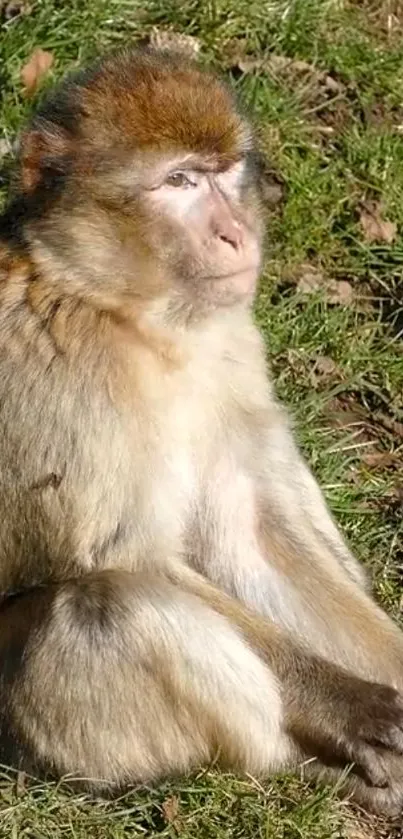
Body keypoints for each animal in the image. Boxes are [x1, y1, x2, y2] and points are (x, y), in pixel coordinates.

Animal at [0, 46, 403, 812]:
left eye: (221, 173)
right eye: (178, 181)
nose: (235, 233)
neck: (132, 318)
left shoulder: (230, 346)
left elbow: (251, 527)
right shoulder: (68, 381)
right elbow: (130, 556)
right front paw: (348, 704)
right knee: (110, 604)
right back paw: (299, 767)